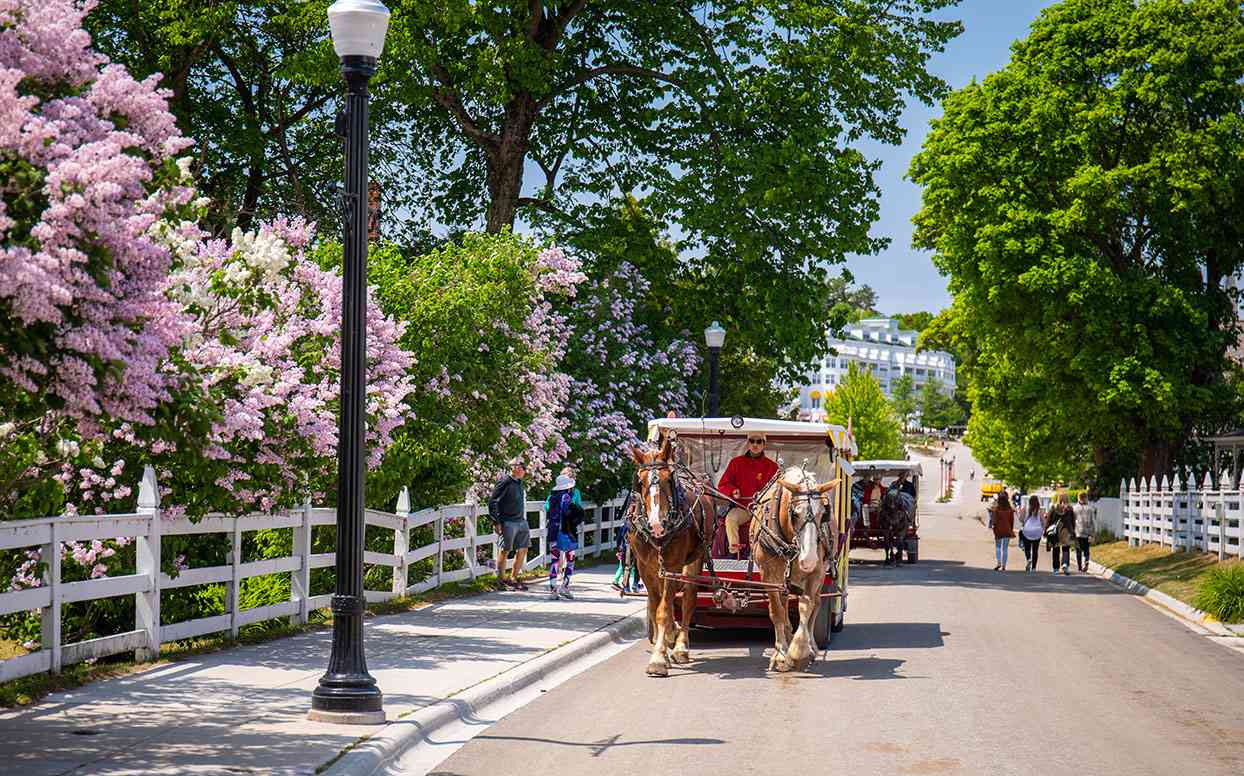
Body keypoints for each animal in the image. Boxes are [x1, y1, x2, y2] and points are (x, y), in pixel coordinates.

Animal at [622, 437, 721, 676]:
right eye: (640, 481)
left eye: (668, 478)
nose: (657, 524)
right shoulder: (645, 567)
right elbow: (655, 607)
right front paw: (664, 642)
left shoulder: (673, 565)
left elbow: (664, 611)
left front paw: (659, 658)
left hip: (694, 559)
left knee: (688, 599)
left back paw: (681, 646)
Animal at [746, 467, 835, 671]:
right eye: (795, 514)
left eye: (823, 514)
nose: (808, 559)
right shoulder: (769, 576)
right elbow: (777, 611)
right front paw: (780, 653)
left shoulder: (816, 574)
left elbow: (806, 606)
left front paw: (799, 650)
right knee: (784, 602)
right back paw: (786, 635)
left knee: (816, 603)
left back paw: (811, 646)